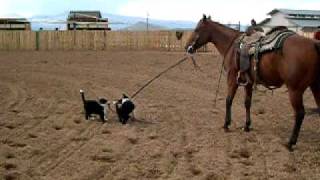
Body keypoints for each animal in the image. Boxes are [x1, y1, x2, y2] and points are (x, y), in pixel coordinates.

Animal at [185, 14, 320, 151]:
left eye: (197, 29)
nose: (188, 47)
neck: (232, 44)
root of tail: (313, 43)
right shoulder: (248, 82)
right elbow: (247, 103)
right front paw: (247, 126)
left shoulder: (232, 78)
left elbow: (229, 100)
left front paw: (226, 124)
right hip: (315, 87)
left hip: (295, 90)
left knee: (300, 114)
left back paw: (290, 142)